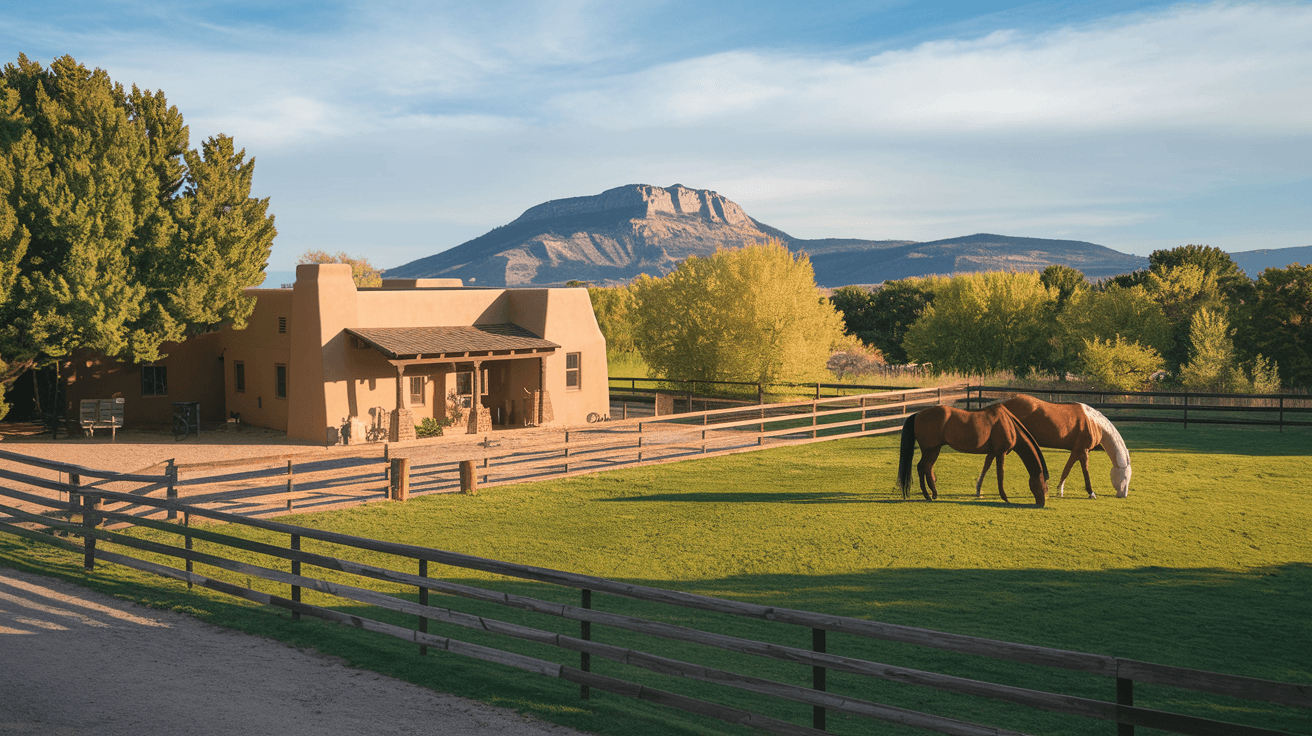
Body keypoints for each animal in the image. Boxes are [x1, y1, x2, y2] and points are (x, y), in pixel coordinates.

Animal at [897, 404, 1050, 507]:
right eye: (1043, 485)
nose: (1042, 503)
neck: (1009, 424)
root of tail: (917, 414)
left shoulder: (992, 453)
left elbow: (985, 468)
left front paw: (978, 491)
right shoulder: (1001, 453)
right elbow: (1000, 474)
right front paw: (1005, 497)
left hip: (932, 450)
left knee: (926, 468)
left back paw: (932, 494)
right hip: (931, 450)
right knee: (923, 467)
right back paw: (928, 495)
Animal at [974, 395, 1131, 499]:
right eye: (1126, 477)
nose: (1123, 494)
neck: (1094, 423)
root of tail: (1003, 403)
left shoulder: (1076, 451)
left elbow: (1067, 469)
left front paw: (1059, 490)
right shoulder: (1083, 451)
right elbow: (1084, 471)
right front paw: (1091, 493)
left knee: (988, 461)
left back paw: (979, 488)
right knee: (988, 461)